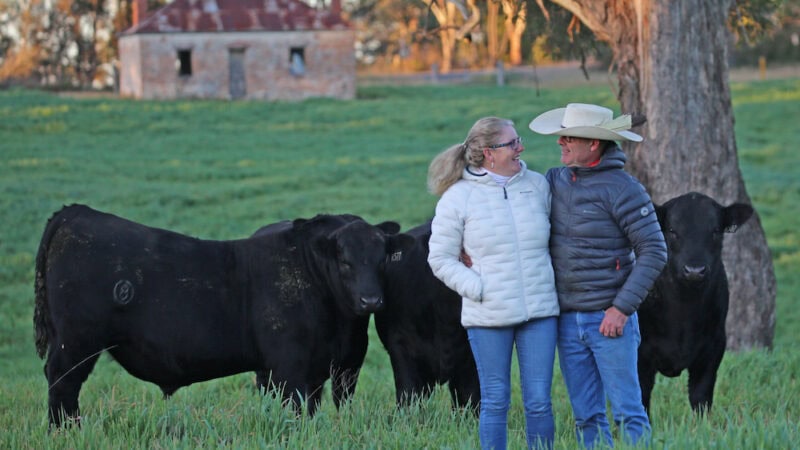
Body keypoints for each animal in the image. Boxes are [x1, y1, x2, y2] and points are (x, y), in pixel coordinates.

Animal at [33, 204, 410, 426]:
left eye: (382, 257)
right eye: (345, 261)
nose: (371, 300)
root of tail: (76, 213)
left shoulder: (336, 369)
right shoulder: (289, 367)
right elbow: (294, 408)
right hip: (75, 344)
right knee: (63, 385)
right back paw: (65, 430)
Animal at [636, 192, 752, 416]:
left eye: (715, 231)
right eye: (672, 230)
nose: (694, 270)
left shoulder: (713, 347)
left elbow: (701, 396)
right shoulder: (638, 352)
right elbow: (640, 396)